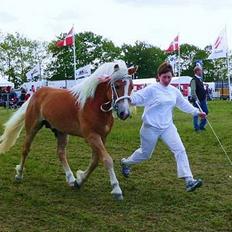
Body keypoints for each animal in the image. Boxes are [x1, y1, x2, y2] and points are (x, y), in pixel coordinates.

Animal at [0, 60, 135, 200]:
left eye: (131, 86)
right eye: (117, 86)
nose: (124, 113)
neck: (93, 104)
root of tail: (36, 93)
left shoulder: (102, 137)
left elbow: (95, 161)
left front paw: (79, 180)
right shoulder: (92, 136)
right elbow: (107, 160)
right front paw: (116, 189)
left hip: (61, 132)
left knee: (61, 153)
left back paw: (70, 178)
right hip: (32, 128)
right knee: (25, 149)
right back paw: (19, 174)